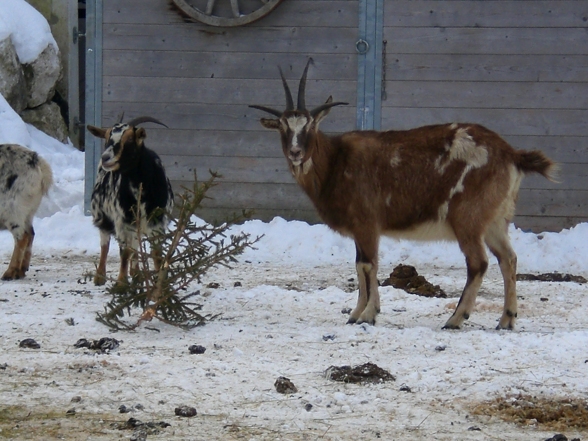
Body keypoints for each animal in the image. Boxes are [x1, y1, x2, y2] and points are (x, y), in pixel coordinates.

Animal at [0, 146, 52, 280]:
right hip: (28, 212)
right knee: (30, 233)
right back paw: (21, 271)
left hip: (13, 210)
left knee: (22, 236)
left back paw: (9, 273)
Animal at [86, 115, 172, 286]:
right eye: (106, 137)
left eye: (130, 139)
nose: (105, 157)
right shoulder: (123, 221)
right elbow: (125, 252)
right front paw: (121, 283)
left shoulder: (157, 222)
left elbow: (156, 253)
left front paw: (161, 283)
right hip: (102, 215)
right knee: (106, 244)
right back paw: (100, 276)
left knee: (135, 244)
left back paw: (137, 274)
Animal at [250, 61, 560, 330]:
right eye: (282, 127)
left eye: (310, 125)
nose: (296, 152)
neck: (336, 162)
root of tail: (511, 154)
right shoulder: (362, 228)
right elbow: (362, 265)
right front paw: (357, 313)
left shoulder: (367, 222)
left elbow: (367, 265)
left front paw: (367, 315)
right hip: (495, 218)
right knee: (508, 259)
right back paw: (506, 320)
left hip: (468, 218)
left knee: (478, 263)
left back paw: (455, 319)